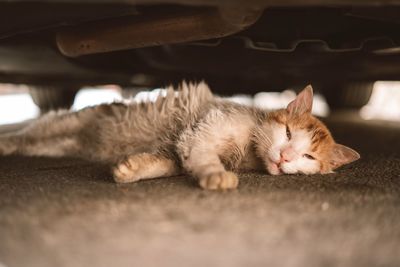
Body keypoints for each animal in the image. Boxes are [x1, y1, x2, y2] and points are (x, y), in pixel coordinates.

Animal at [0, 82, 360, 189]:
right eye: (286, 132)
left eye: (308, 156)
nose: (285, 156)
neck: (249, 152)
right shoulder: (202, 133)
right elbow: (204, 158)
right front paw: (216, 175)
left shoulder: (180, 144)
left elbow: (166, 163)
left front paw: (133, 169)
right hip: (61, 123)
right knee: (26, 134)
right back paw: (6, 142)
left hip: (58, 144)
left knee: (34, 144)